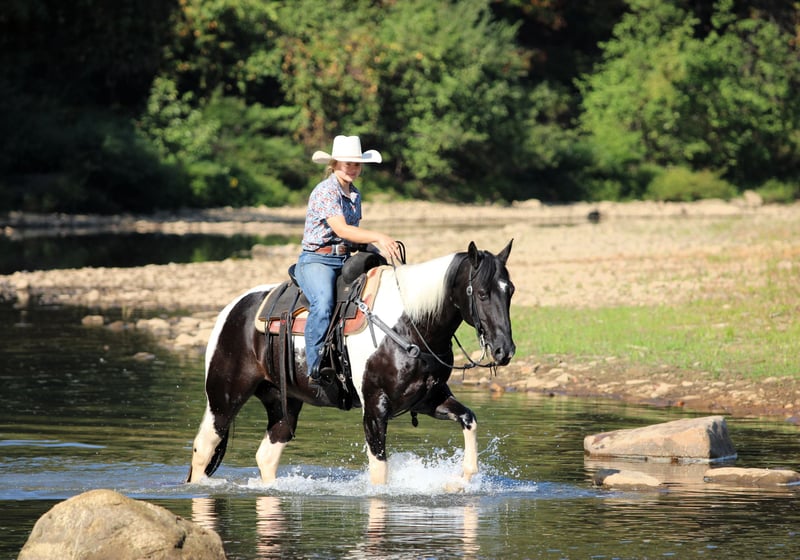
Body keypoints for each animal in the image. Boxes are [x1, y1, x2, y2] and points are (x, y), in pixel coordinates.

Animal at [187, 240, 515, 486]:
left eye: (510, 290)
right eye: (482, 293)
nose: (505, 350)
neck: (410, 324)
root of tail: (233, 308)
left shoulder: (427, 399)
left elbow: (469, 419)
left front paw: (461, 480)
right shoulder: (375, 408)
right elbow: (380, 473)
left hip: (283, 402)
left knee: (266, 455)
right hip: (224, 398)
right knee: (204, 448)